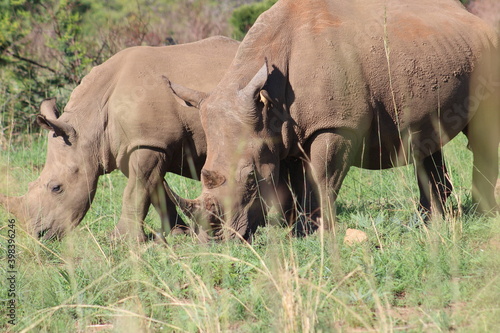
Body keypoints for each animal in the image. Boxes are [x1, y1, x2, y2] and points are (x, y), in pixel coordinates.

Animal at [0, 35, 240, 239]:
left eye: (56, 188)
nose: (38, 236)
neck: (89, 124)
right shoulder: (129, 146)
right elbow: (155, 190)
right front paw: (179, 234)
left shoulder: (149, 143)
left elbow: (135, 191)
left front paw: (120, 240)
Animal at [166, 0, 498, 240]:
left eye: (250, 179)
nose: (214, 238)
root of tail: (474, 19)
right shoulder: (281, 133)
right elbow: (294, 182)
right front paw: (296, 230)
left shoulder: (335, 125)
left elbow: (320, 178)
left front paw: (317, 232)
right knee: (425, 137)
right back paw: (431, 220)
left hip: (487, 52)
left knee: (481, 136)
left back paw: (481, 215)